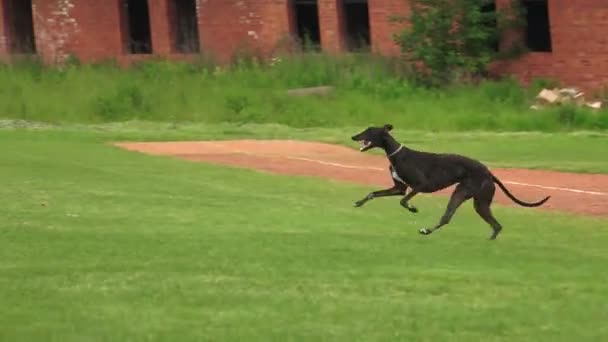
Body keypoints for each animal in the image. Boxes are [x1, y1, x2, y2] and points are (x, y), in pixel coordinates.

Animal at [350, 124, 548, 239]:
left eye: (369, 131)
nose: (353, 136)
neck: (397, 154)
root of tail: (488, 172)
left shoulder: (420, 185)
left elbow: (403, 201)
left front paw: (413, 208)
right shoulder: (398, 187)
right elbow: (373, 193)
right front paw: (359, 202)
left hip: (471, 196)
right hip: (469, 198)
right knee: (466, 220)